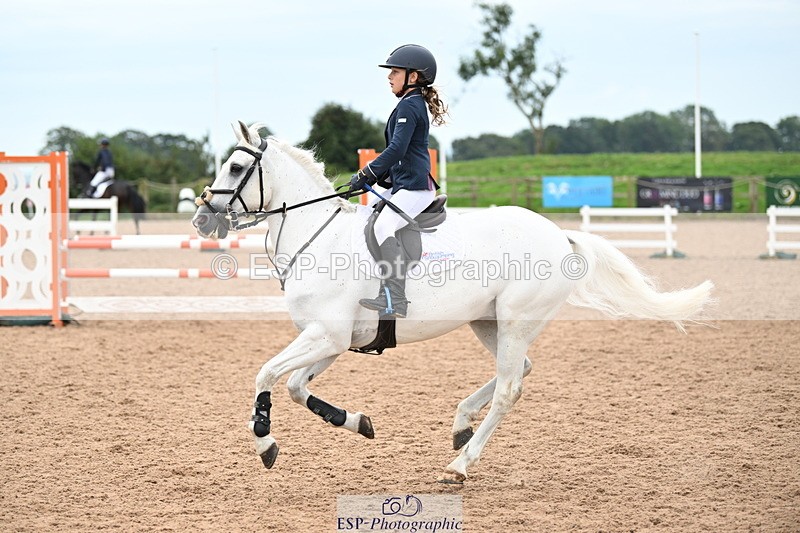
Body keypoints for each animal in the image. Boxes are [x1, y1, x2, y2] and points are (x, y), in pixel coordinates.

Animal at [192, 121, 713, 483]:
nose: (201, 217)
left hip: (515, 320)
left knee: (510, 388)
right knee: (521, 371)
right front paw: (357, 422)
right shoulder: (333, 340)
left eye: (235, 168)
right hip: (489, 323)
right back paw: (462, 423)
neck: (316, 236)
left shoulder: (327, 335)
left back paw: (461, 464)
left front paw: (265, 443)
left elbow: (265, 374)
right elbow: (297, 387)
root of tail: (559, 235)